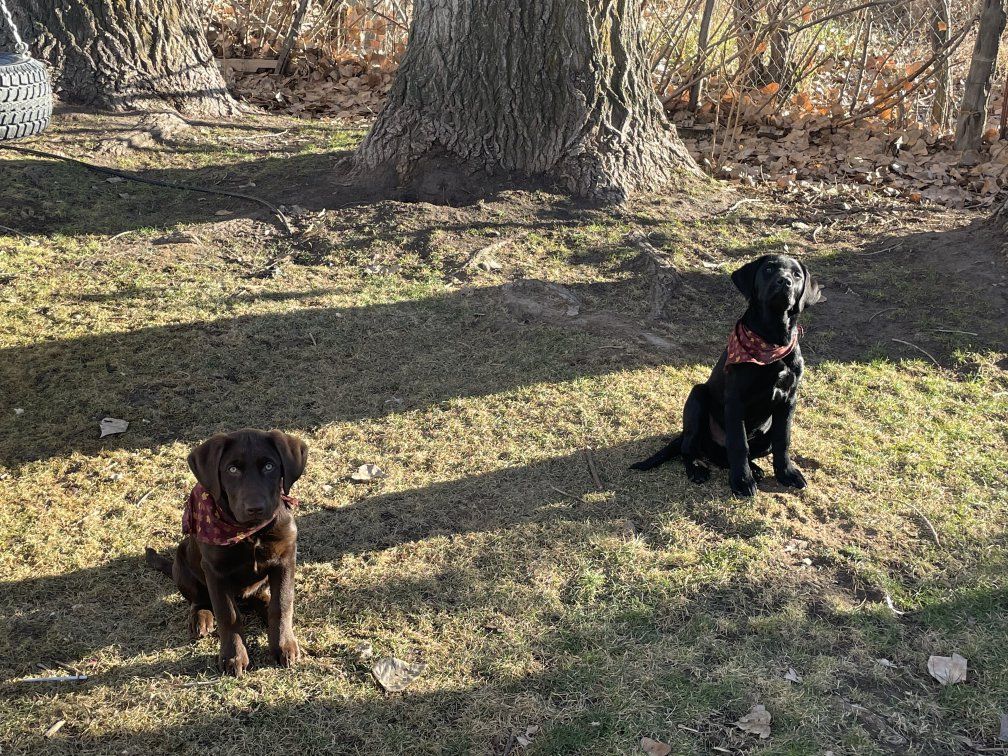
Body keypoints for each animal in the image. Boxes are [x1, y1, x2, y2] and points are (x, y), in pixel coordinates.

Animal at [146, 429, 308, 676]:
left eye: (269, 466)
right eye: (232, 469)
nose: (255, 508)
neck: (250, 533)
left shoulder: (285, 559)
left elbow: (281, 604)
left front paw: (283, 644)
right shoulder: (215, 571)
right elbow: (227, 614)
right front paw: (234, 656)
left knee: (259, 597)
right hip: (182, 561)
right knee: (199, 599)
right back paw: (201, 617)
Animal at [631, 254, 823, 497]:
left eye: (797, 275)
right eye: (769, 269)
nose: (784, 281)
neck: (771, 342)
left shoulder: (788, 400)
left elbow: (783, 440)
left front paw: (786, 473)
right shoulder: (736, 401)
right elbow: (739, 443)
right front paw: (741, 481)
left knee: (726, 455)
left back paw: (755, 469)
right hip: (697, 397)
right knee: (690, 447)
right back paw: (699, 468)